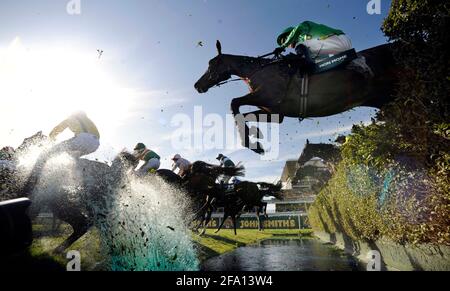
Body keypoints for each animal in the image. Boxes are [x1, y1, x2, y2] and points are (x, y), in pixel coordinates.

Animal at [195, 41, 400, 155]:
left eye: (212, 64)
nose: (198, 85)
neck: (260, 71)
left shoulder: (267, 96)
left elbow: (234, 103)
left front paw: (253, 144)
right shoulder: (275, 112)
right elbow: (245, 115)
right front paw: (256, 138)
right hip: (383, 99)